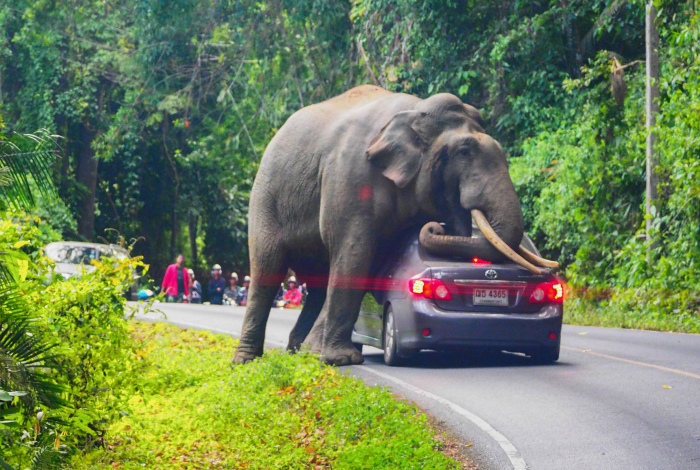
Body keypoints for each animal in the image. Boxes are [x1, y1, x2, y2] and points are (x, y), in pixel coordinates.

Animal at [232, 85, 556, 368]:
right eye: (464, 151)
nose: (436, 227)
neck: (416, 111)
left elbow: (368, 262)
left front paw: (323, 356)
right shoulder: (351, 176)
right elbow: (355, 254)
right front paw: (341, 360)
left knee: (317, 282)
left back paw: (299, 353)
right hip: (266, 197)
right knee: (268, 268)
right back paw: (247, 361)